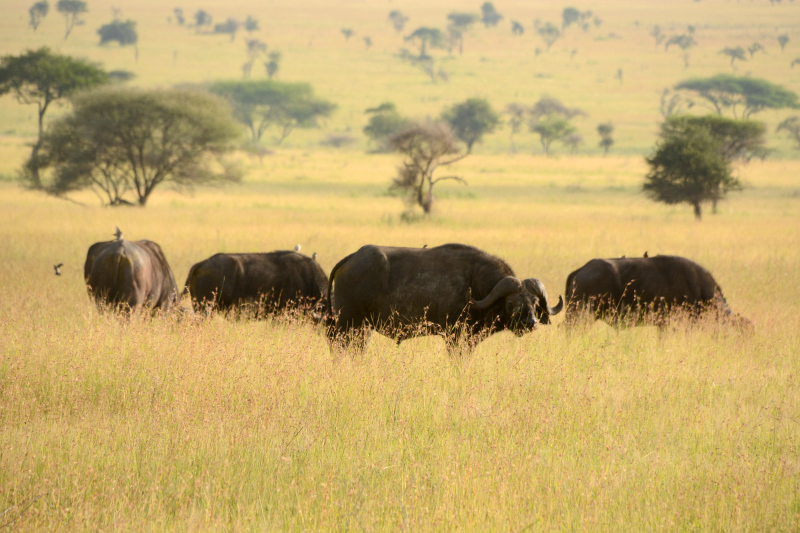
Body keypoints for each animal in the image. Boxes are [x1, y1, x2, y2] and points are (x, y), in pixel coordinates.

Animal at [324, 243, 564, 352]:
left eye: (534, 303)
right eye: (512, 303)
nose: (530, 322)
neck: (475, 284)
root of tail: (352, 258)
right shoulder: (454, 336)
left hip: (363, 328)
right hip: (348, 324)